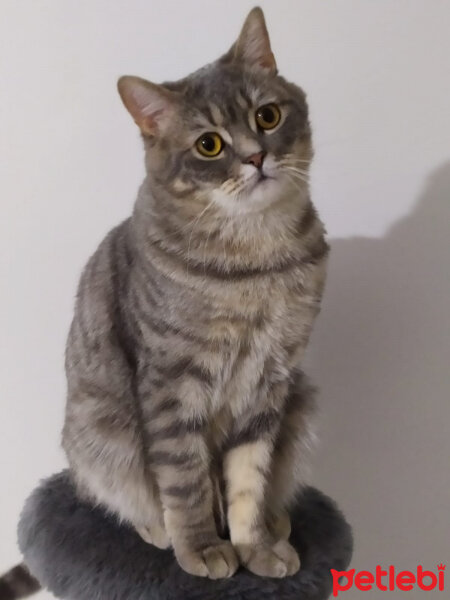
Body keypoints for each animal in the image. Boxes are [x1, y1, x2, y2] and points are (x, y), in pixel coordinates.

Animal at [1, 5, 328, 592]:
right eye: (209, 145)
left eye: (267, 116)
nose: (257, 157)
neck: (256, 262)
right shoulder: (173, 384)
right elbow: (185, 480)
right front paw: (201, 548)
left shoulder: (271, 382)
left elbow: (250, 478)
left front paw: (255, 547)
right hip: (100, 430)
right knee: (117, 492)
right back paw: (159, 531)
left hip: (300, 400)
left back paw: (275, 523)